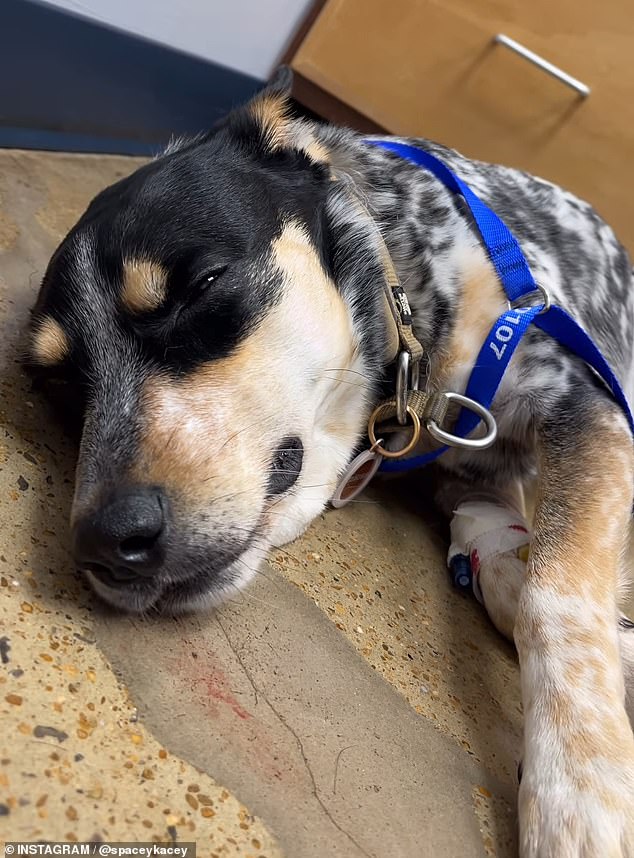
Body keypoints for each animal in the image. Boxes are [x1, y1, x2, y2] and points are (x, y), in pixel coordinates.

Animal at [25, 75, 632, 856]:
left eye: (203, 284)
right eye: (61, 384)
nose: (104, 542)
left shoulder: (584, 406)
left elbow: (554, 596)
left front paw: (580, 788)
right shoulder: (476, 483)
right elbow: (509, 563)